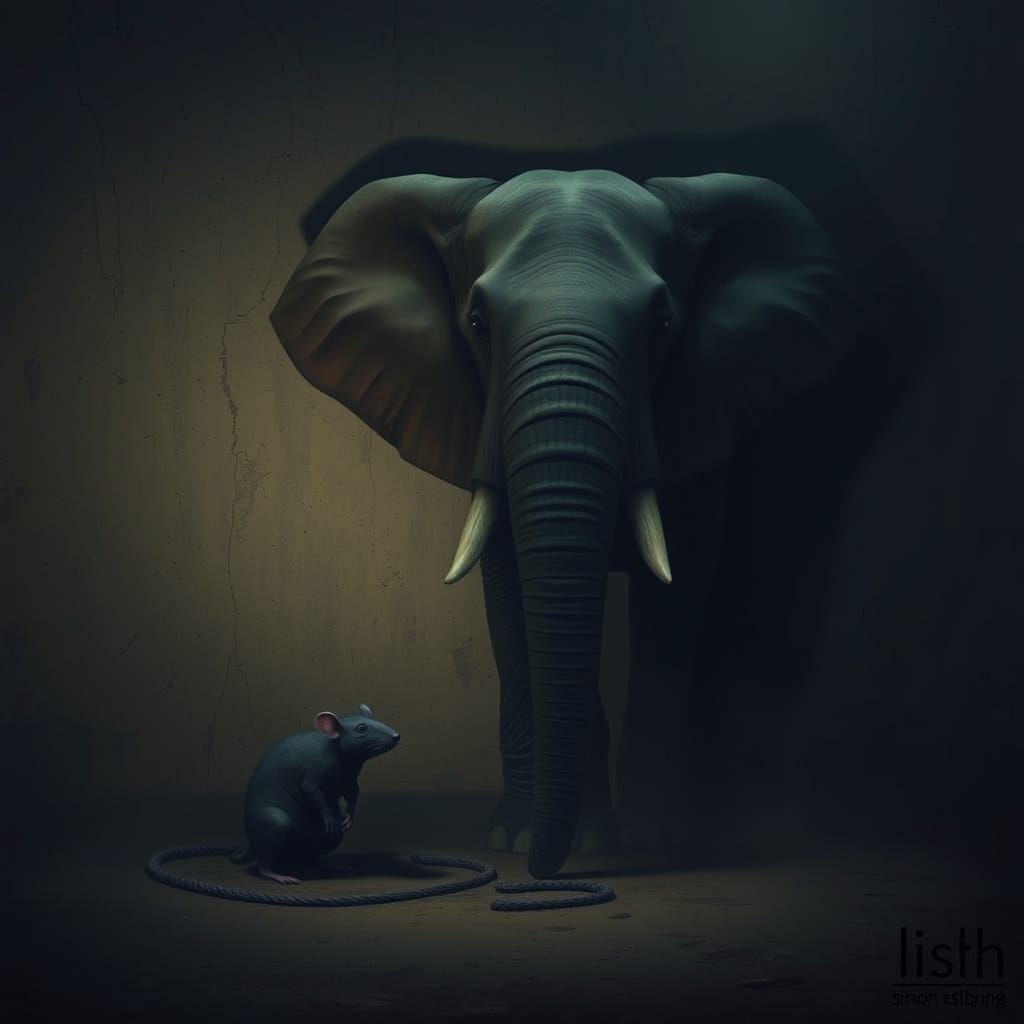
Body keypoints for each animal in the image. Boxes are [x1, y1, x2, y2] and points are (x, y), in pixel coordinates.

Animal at [269, 169, 851, 879]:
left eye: (662, 322)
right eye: (477, 322)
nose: (539, 875)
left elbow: (674, 596)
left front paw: (649, 841)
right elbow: (516, 600)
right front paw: (527, 839)